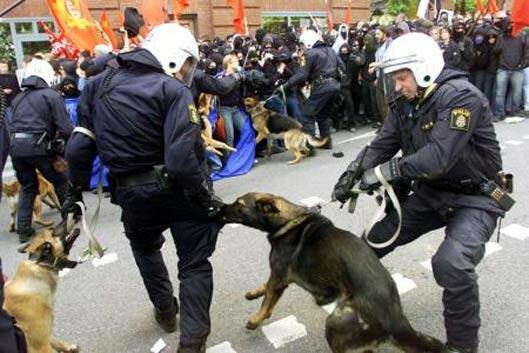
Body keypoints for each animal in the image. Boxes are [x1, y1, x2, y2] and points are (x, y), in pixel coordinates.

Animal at [3, 223, 80, 352]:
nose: (75, 218)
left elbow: (54, 339)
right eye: (53, 231)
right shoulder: (41, 346)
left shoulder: (45, 334)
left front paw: (67, 347)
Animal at [217, 192, 444, 352]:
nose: (218, 208)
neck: (288, 222)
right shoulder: (278, 276)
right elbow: (265, 287)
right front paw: (253, 293)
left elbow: (267, 302)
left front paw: (255, 320)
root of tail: (396, 318)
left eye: (239, 204)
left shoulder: (279, 276)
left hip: (335, 324)